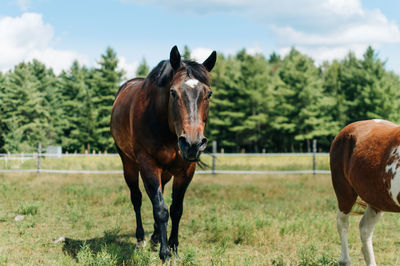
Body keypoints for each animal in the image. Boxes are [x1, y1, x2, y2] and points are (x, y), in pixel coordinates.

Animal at [109, 45, 216, 260]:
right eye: (173, 92)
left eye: (208, 94)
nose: (192, 143)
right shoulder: (148, 164)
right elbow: (160, 209)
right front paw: (165, 253)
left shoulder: (186, 170)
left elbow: (175, 209)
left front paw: (173, 247)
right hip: (129, 164)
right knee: (137, 198)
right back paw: (141, 238)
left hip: (165, 172)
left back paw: (155, 237)